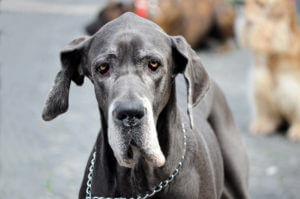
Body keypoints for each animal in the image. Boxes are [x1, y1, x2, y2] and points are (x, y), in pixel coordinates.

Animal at [238, 0, 300, 141]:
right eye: (246, 1)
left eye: (259, 4)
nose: (241, 6)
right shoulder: (260, 83)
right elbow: (266, 111)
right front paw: (263, 126)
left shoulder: (292, 87)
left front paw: (297, 131)